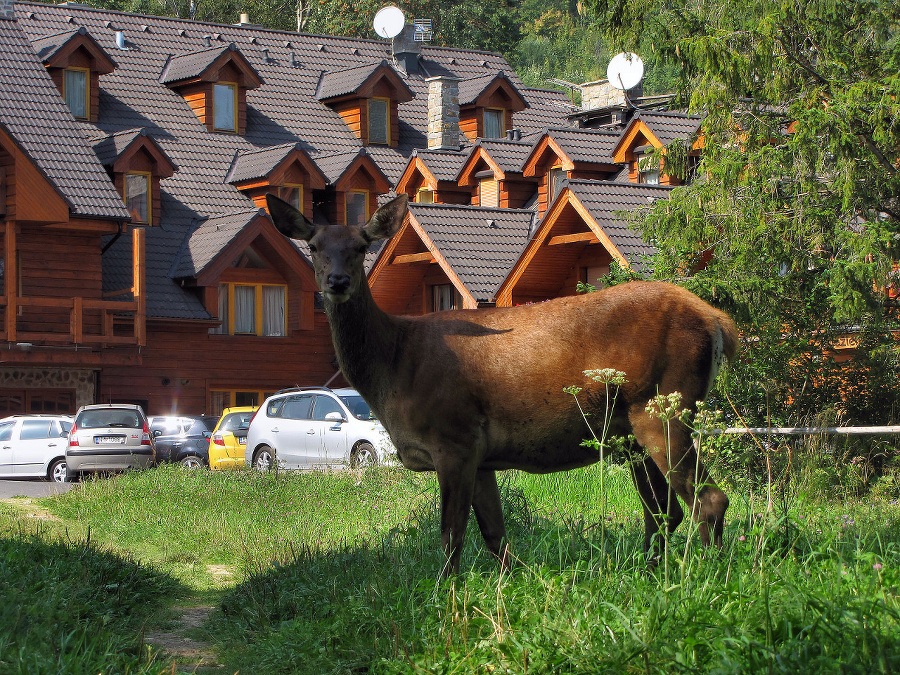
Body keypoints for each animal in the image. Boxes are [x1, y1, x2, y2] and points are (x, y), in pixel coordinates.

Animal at [266, 194, 740, 576]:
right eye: (314, 247)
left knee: (707, 500)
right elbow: (495, 533)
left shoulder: (453, 436)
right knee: (663, 511)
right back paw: (651, 572)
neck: (395, 366)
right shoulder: (481, 455)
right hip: (633, 429)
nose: (337, 282)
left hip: (663, 405)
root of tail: (716, 320)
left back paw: (709, 575)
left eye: (362, 247)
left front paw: (445, 595)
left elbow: (451, 534)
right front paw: (513, 584)